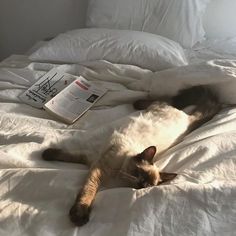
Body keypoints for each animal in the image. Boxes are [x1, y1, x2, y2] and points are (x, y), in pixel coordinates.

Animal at [41, 85, 220, 227]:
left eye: (149, 186)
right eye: (139, 173)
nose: (142, 184)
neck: (118, 177)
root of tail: (188, 121)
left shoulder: (93, 162)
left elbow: (79, 172)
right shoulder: (96, 164)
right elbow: (84, 184)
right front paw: (46, 154)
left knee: (169, 100)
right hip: (160, 107)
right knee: (166, 99)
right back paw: (137, 103)